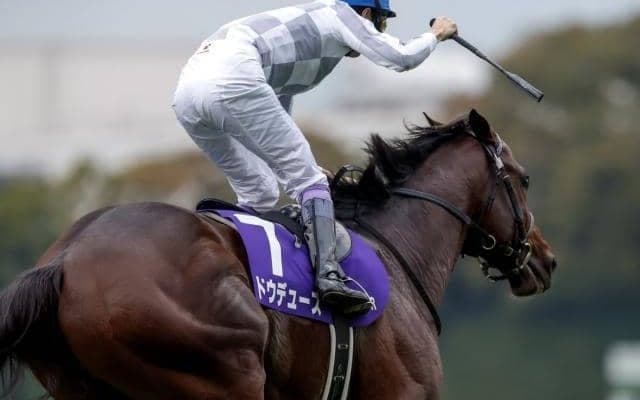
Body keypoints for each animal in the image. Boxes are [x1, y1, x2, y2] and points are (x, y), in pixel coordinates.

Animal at [0, 109, 556, 399]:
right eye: (525, 179)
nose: (545, 260)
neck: (396, 251)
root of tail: (63, 262)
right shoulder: (403, 393)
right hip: (223, 372)